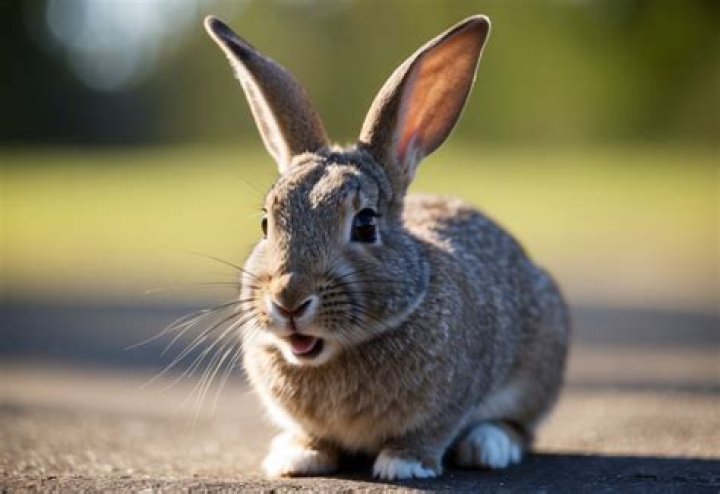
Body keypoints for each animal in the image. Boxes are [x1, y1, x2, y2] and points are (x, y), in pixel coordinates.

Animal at [203, 14, 569, 481]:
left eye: (365, 224)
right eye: (266, 222)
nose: (288, 301)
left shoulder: (451, 400)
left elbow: (428, 433)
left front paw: (404, 465)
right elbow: (313, 437)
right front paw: (299, 457)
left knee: (522, 428)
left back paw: (489, 445)